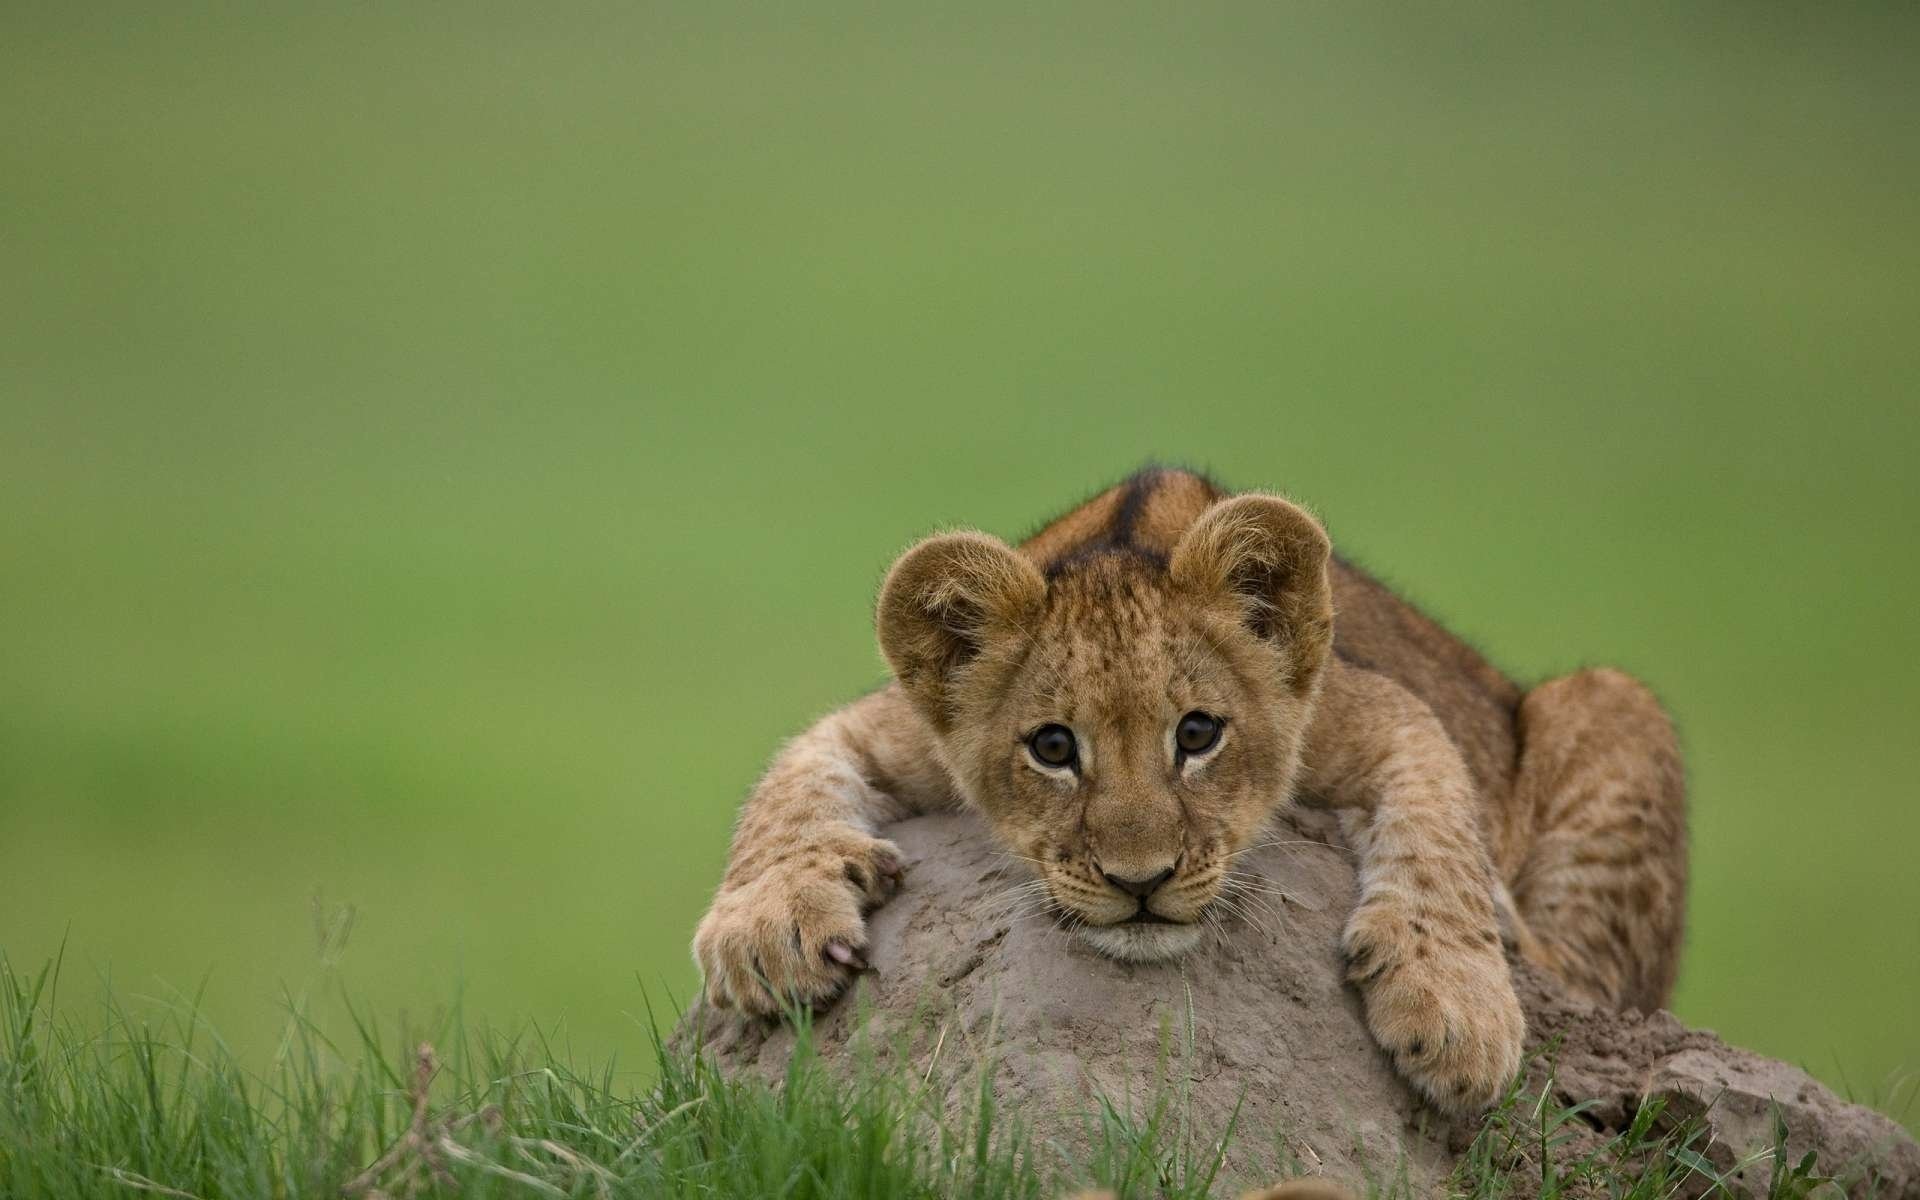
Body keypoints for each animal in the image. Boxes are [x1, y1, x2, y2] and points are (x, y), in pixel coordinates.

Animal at [691, 467, 1687, 1112]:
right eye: (1053, 747)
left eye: (1199, 734)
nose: (1142, 882)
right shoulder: (887, 726)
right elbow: (787, 784)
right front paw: (767, 930)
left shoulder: (1380, 707)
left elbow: (1441, 826)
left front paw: (1454, 1005)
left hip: (1614, 701)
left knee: (1595, 979)